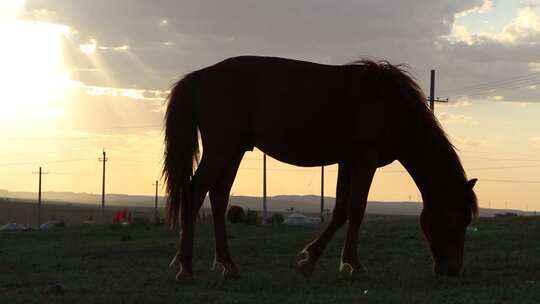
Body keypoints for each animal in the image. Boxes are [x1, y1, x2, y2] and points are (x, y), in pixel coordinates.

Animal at [162, 55, 478, 280]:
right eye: (456, 220)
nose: (452, 270)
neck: (390, 106)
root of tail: (201, 76)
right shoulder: (364, 160)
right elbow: (356, 209)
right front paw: (354, 264)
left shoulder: (348, 162)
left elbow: (340, 211)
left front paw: (309, 261)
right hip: (221, 149)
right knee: (195, 192)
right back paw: (185, 267)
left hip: (233, 151)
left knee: (218, 198)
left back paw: (228, 265)